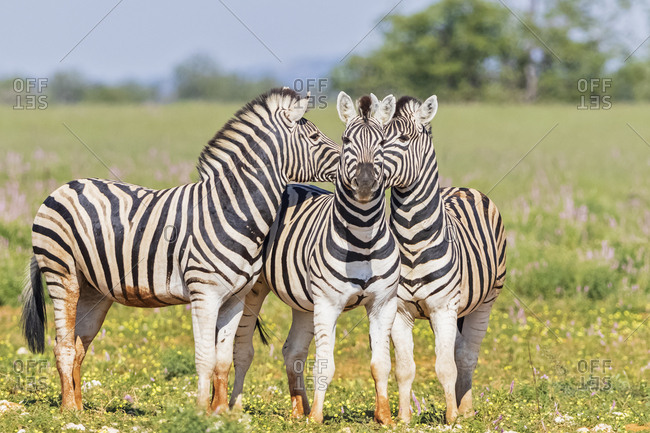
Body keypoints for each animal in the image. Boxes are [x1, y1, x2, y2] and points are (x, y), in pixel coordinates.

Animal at [20, 88, 341, 413]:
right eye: (315, 138)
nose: (346, 161)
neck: (231, 209)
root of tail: (64, 187)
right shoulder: (205, 293)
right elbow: (205, 358)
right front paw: (200, 411)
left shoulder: (236, 298)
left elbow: (223, 360)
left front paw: (221, 412)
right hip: (62, 273)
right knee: (63, 345)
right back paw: (68, 409)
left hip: (94, 289)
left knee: (79, 344)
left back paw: (80, 406)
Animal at [228, 92, 401, 424]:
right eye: (346, 139)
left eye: (383, 142)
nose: (364, 182)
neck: (363, 238)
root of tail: (288, 183)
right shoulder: (329, 303)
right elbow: (326, 363)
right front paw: (318, 417)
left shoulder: (383, 303)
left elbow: (381, 364)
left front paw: (385, 417)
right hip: (256, 289)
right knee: (241, 347)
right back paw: (233, 407)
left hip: (304, 301)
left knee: (292, 350)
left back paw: (299, 409)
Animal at [384, 95, 507, 423]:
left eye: (403, 139)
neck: (412, 240)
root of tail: (462, 188)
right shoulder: (400, 310)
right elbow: (404, 368)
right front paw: (404, 418)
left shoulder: (443, 307)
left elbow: (445, 366)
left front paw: (451, 417)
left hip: (485, 300)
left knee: (465, 355)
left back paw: (466, 410)